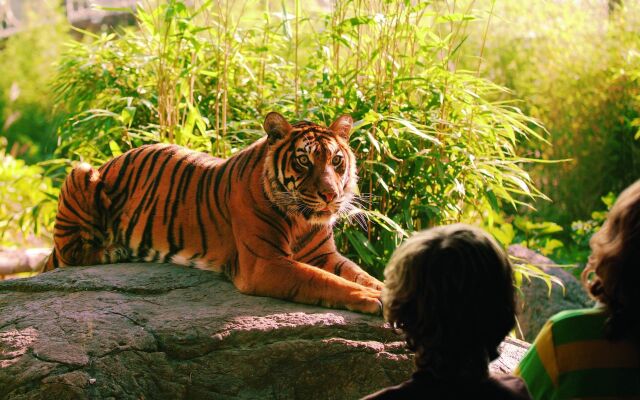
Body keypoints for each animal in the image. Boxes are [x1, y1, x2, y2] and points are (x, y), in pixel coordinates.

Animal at [46, 111, 384, 312]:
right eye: (304, 160)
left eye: (336, 160)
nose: (330, 195)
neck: (301, 220)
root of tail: (110, 161)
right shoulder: (265, 263)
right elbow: (323, 280)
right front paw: (372, 298)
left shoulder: (324, 255)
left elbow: (359, 274)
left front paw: (382, 290)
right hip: (81, 171)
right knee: (69, 254)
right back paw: (113, 251)